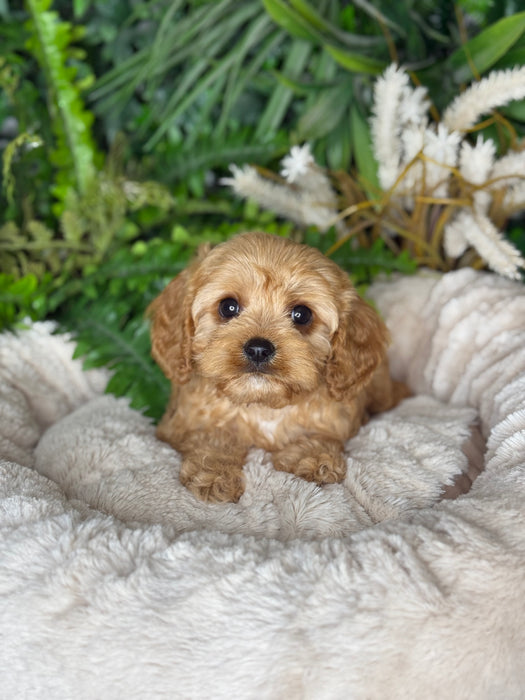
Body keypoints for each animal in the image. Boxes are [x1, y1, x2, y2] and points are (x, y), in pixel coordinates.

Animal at [149, 234, 408, 504]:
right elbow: (210, 437)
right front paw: (214, 474)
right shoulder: (178, 426)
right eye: (228, 307)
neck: (262, 405)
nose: (258, 349)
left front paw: (314, 458)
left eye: (301, 314)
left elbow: (319, 435)